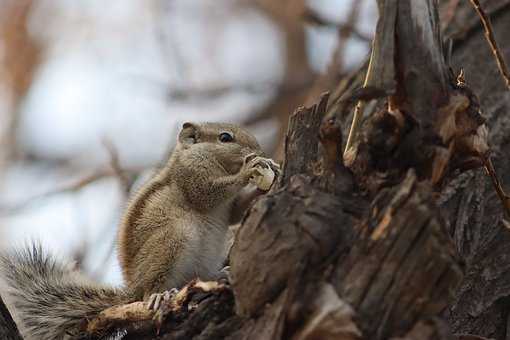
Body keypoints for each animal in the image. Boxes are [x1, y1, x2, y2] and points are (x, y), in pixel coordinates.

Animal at [0, 122, 278, 340]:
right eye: (225, 137)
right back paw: (158, 296)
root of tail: (132, 289)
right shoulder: (191, 176)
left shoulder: (228, 208)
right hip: (171, 239)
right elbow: (207, 193)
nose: (259, 151)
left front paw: (264, 182)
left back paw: (220, 273)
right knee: (150, 291)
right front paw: (248, 171)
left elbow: (235, 212)